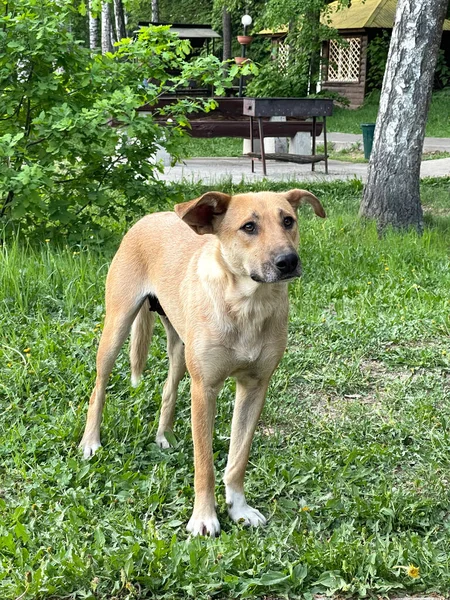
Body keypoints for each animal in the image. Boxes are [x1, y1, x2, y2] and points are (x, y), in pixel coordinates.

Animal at [81, 188, 326, 536]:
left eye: (288, 221)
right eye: (249, 227)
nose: (288, 261)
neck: (247, 306)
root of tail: (149, 217)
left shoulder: (255, 387)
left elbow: (238, 458)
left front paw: (238, 508)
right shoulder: (204, 388)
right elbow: (204, 464)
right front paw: (204, 517)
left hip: (180, 349)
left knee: (168, 389)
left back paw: (164, 435)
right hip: (116, 327)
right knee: (99, 389)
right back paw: (91, 441)